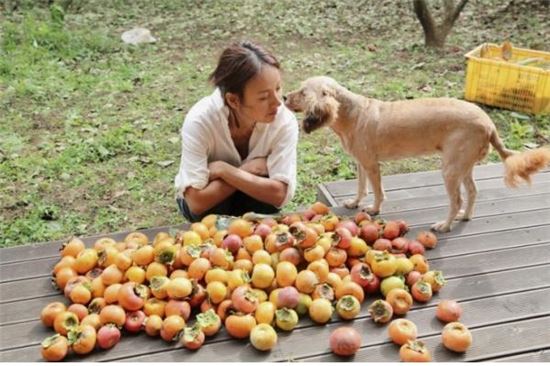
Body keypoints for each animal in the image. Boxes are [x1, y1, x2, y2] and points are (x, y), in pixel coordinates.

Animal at [286, 76, 550, 232]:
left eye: (303, 92)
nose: (285, 96)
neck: (352, 113)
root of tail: (489, 123)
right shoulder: (361, 163)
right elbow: (361, 187)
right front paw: (354, 202)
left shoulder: (371, 164)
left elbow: (378, 192)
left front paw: (374, 209)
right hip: (463, 166)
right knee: (473, 192)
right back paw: (465, 217)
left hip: (450, 169)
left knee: (457, 200)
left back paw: (445, 225)